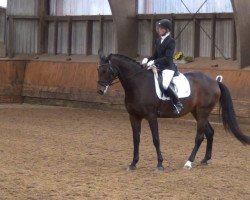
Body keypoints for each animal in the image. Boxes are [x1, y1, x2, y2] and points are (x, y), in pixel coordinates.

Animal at [96, 49, 250, 171]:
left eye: (106, 70)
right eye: (98, 70)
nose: (100, 91)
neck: (138, 84)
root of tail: (215, 82)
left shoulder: (151, 116)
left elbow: (156, 139)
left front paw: (159, 164)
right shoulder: (134, 116)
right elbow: (136, 139)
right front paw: (133, 163)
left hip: (202, 112)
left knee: (200, 137)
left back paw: (189, 162)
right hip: (197, 112)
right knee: (210, 132)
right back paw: (205, 159)